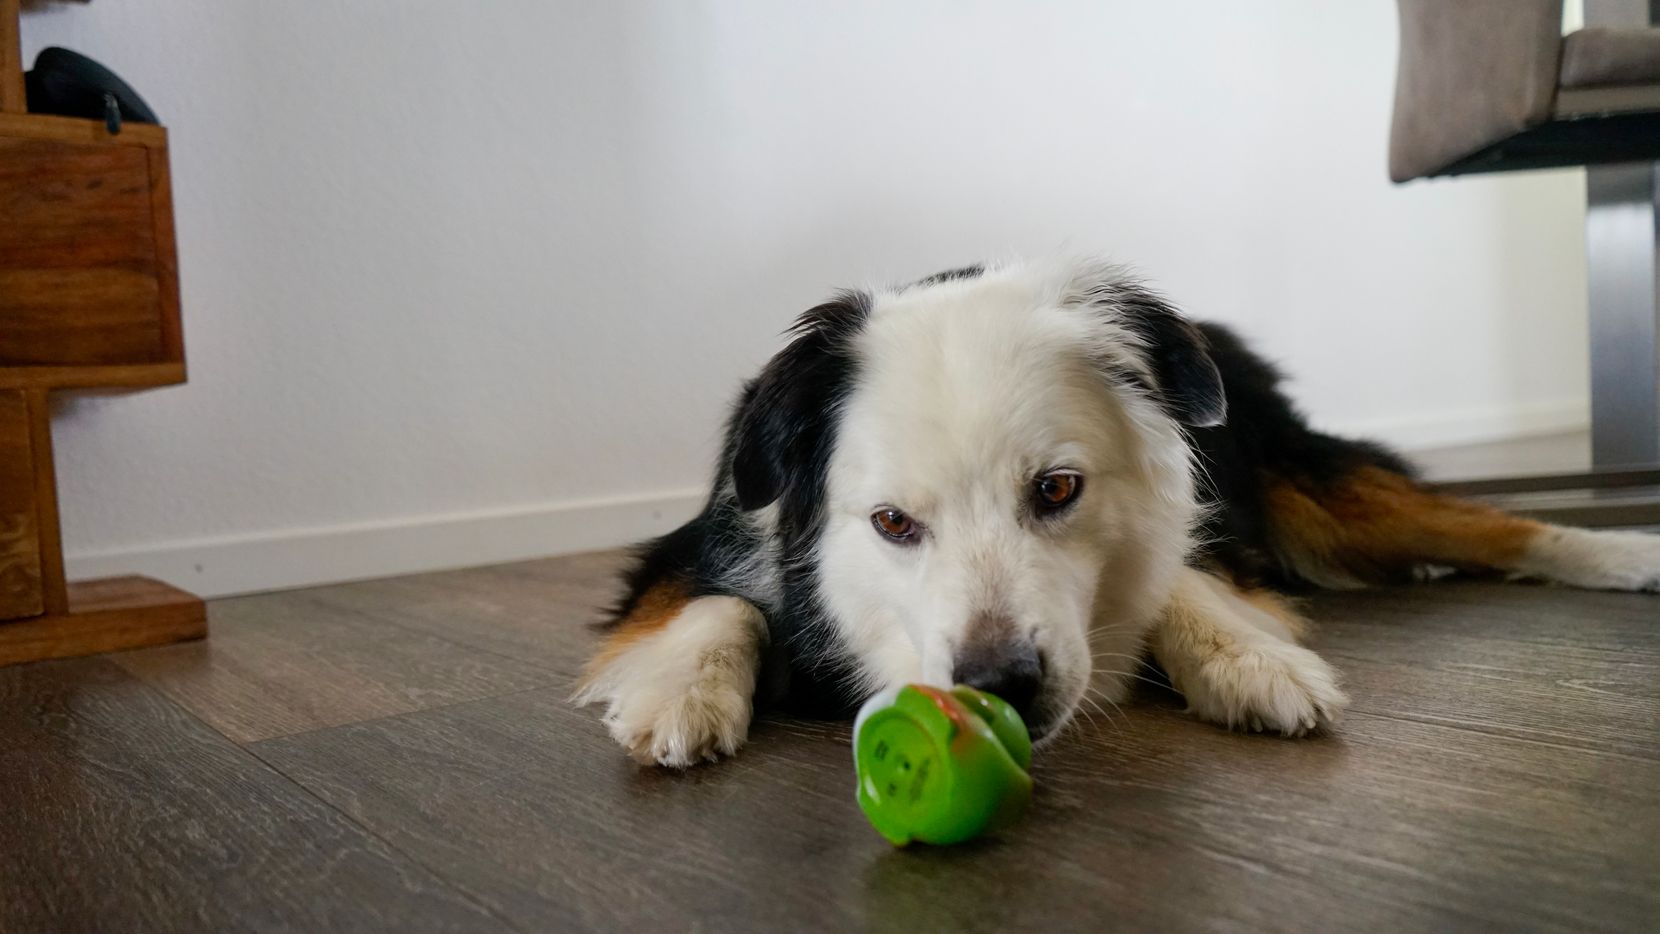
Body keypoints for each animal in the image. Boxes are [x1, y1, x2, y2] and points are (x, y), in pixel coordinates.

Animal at [574, 255, 1660, 766]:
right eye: (891, 525)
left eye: (1057, 490)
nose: (1001, 685)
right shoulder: (699, 541)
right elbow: (718, 602)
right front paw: (680, 693)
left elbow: (1182, 578)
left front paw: (1249, 660)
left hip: (1307, 484)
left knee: (1475, 520)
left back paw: (1623, 551)